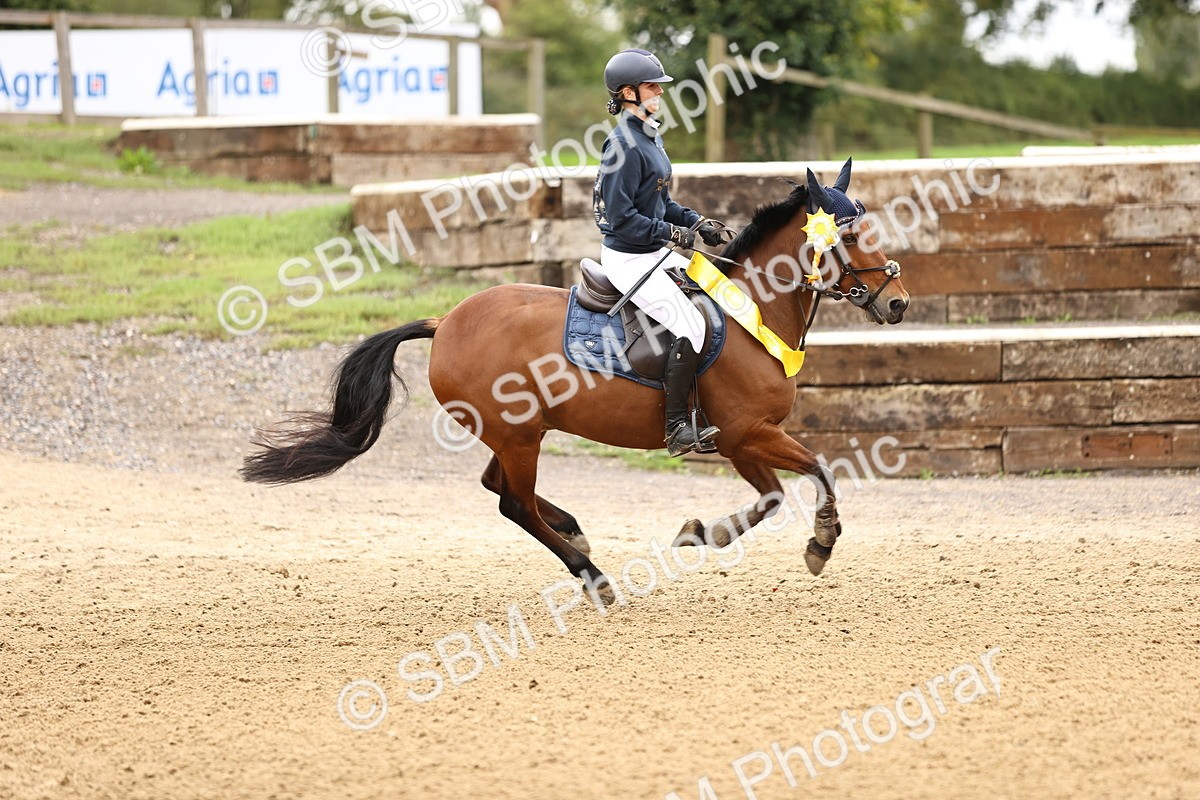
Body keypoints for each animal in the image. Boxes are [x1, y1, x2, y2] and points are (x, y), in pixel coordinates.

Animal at [241, 158, 910, 603]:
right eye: (851, 235)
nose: (898, 301)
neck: (753, 311)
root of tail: (447, 320)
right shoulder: (749, 432)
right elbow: (819, 471)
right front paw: (821, 543)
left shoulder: (742, 438)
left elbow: (770, 498)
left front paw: (704, 532)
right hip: (518, 434)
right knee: (511, 501)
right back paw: (593, 576)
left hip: (517, 431)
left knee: (498, 487)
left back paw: (575, 534)